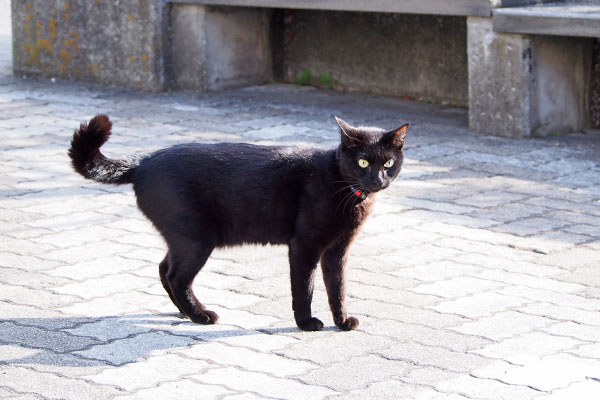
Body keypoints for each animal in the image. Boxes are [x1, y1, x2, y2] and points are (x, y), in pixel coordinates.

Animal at [69, 115, 408, 332]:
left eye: (388, 163)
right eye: (362, 162)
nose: (377, 180)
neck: (342, 186)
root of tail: (143, 160)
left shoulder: (338, 250)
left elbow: (337, 288)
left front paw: (342, 321)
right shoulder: (305, 246)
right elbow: (305, 288)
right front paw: (305, 323)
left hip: (182, 238)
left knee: (164, 268)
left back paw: (185, 313)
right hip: (196, 239)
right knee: (177, 276)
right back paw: (201, 315)